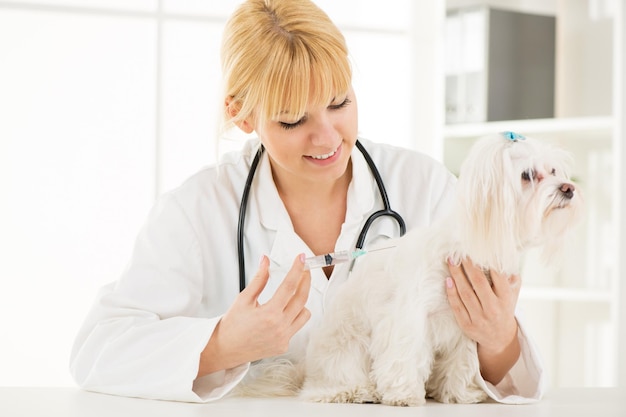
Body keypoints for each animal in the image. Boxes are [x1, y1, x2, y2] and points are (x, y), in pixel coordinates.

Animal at [298, 132, 580, 404]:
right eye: (527, 175)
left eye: (553, 171)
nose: (569, 188)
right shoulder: (409, 318)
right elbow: (406, 353)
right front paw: (404, 395)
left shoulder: (465, 327)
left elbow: (463, 360)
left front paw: (459, 393)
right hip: (345, 348)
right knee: (328, 384)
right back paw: (355, 391)